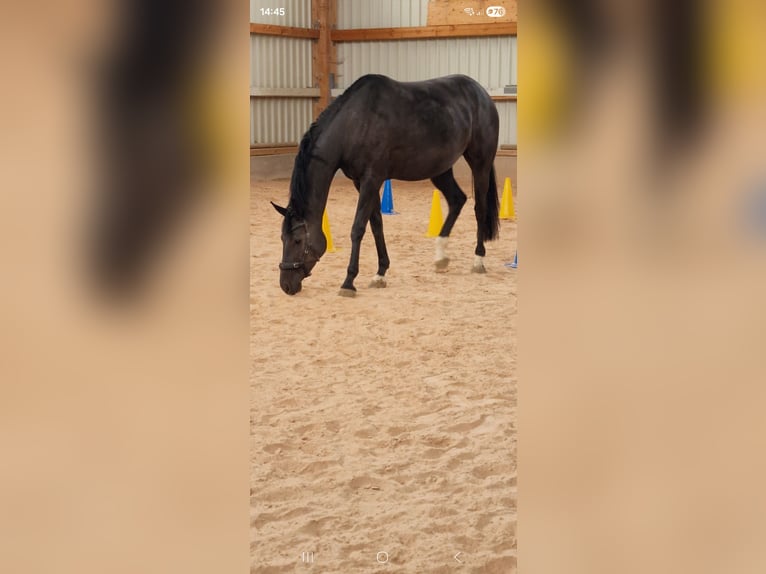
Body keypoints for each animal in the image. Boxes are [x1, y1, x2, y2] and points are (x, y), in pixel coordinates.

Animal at [271, 73, 500, 296]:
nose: (286, 285)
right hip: (440, 170)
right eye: (281, 238)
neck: (354, 123)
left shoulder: (371, 179)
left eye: (298, 240)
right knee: (457, 200)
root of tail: (481, 94)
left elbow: (358, 228)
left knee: (479, 209)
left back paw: (478, 260)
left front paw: (348, 282)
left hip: (480, 163)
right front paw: (380, 274)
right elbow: (376, 224)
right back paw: (441, 257)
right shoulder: (361, 182)